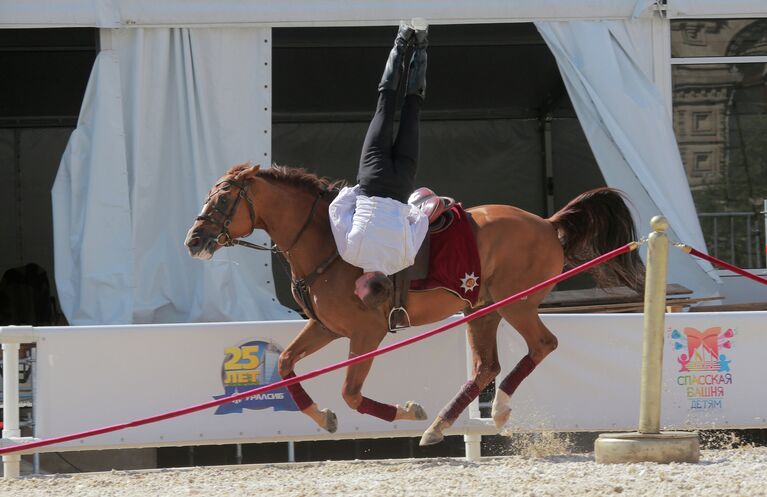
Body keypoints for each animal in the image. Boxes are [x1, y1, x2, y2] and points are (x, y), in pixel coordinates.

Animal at [184, 165, 640, 444]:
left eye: (222, 199)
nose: (194, 240)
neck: (327, 241)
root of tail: (546, 223)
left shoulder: (366, 333)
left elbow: (351, 393)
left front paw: (407, 411)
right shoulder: (326, 327)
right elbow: (284, 364)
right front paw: (322, 416)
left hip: (518, 305)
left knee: (542, 345)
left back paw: (497, 410)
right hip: (482, 310)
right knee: (486, 367)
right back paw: (441, 425)